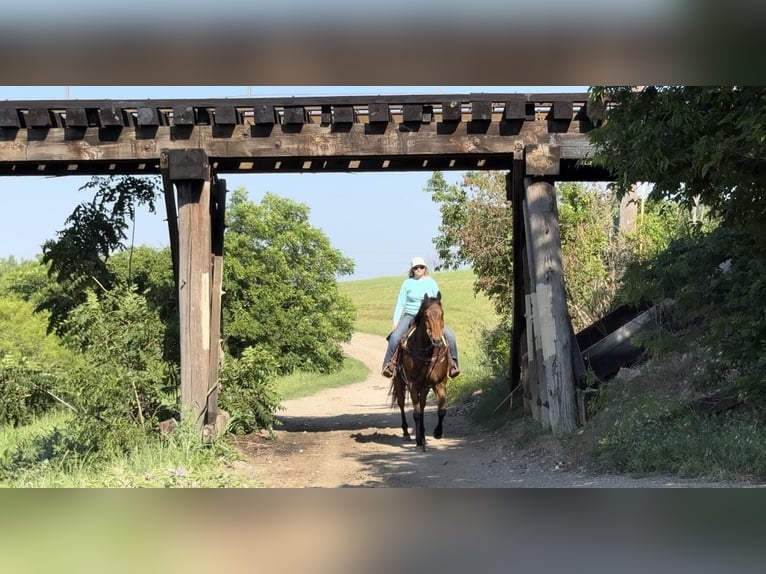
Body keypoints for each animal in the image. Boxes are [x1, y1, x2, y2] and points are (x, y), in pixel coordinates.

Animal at [392, 294, 448, 452]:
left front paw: (437, 433)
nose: (437, 340)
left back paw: (423, 436)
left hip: (425, 388)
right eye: (426, 315)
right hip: (399, 382)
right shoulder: (413, 384)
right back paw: (407, 433)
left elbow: (441, 410)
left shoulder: (439, 383)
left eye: (442, 314)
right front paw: (418, 441)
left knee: (422, 406)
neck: (426, 353)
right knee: (401, 404)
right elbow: (416, 413)